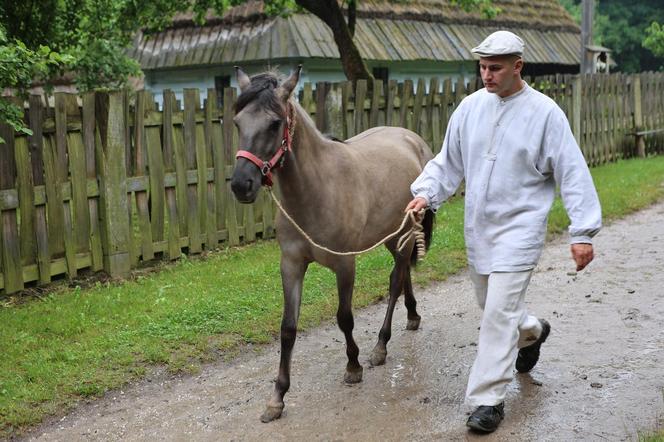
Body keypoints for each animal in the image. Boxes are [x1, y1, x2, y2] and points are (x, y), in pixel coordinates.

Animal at [230, 65, 436, 422]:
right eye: (238, 122)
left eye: (274, 123)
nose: (242, 185)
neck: (316, 190)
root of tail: (413, 139)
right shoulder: (291, 264)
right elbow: (288, 327)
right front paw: (277, 397)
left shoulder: (344, 263)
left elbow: (344, 317)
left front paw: (353, 366)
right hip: (392, 236)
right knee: (405, 276)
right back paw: (412, 316)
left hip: (403, 236)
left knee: (395, 282)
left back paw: (380, 346)